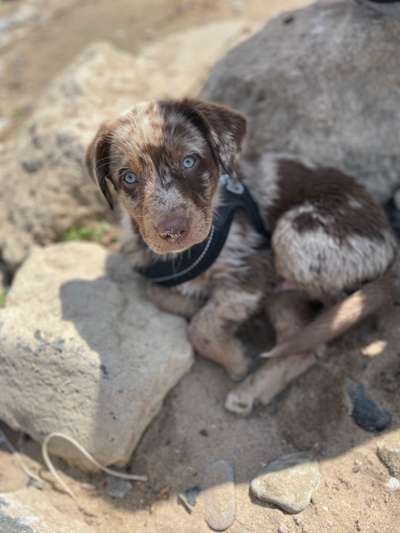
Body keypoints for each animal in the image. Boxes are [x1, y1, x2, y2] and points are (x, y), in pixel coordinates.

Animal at [85, 98, 396, 416]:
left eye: (189, 161)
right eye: (129, 178)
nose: (173, 231)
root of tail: (387, 233)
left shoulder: (252, 268)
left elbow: (201, 327)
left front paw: (234, 359)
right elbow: (160, 294)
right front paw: (203, 308)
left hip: (294, 235)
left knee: (337, 309)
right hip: (285, 296)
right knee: (305, 346)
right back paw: (252, 390)